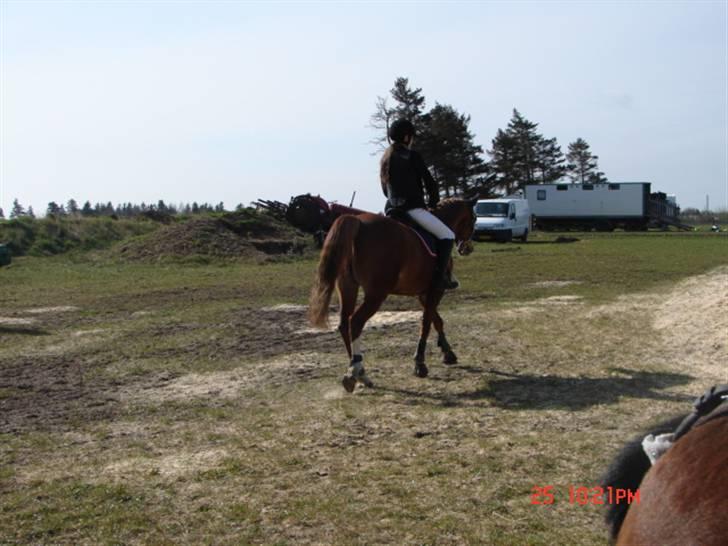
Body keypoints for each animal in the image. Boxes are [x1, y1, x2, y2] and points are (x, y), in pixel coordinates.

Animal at [308, 199, 478, 392]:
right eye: (474, 219)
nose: (467, 248)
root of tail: (358, 222)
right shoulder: (436, 289)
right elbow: (427, 322)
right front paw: (420, 363)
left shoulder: (422, 293)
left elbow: (436, 320)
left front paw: (447, 353)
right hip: (376, 294)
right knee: (356, 322)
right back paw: (356, 372)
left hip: (348, 287)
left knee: (345, 325)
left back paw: (359, 374)